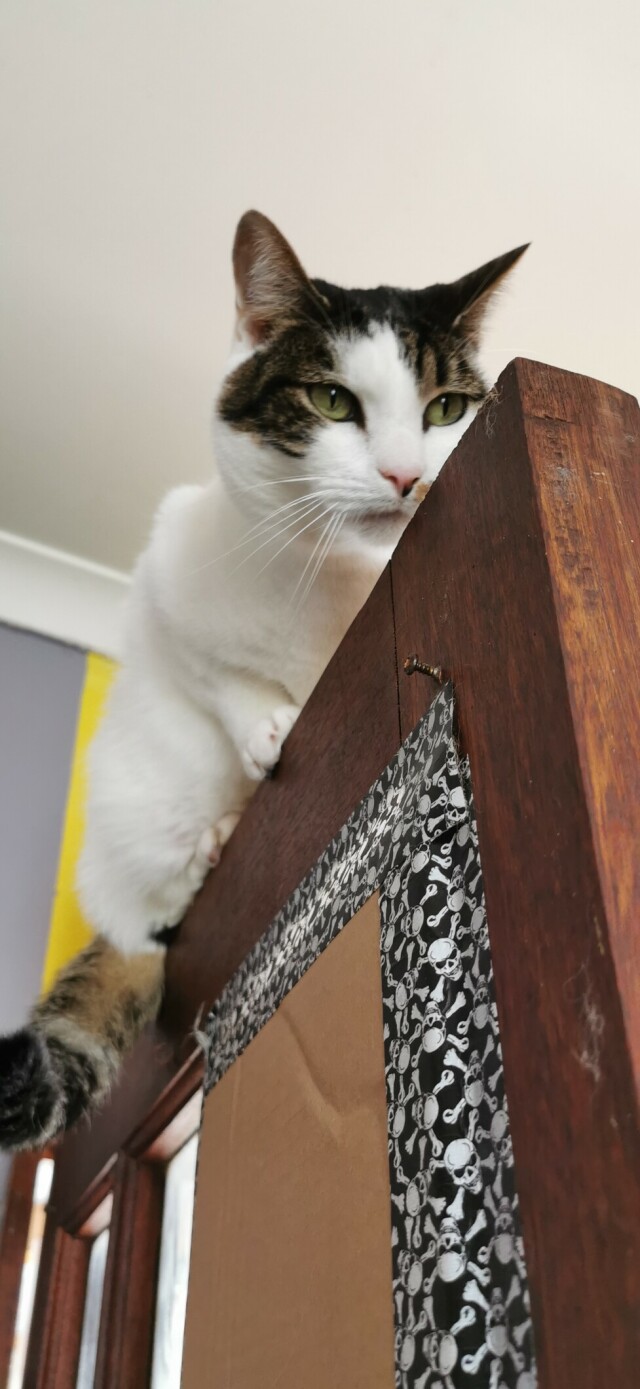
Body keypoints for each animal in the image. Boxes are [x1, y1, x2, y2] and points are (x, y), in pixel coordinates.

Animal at [0, 202, 524, 1138]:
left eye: (448, 407)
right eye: (333, 401)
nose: (406, 475)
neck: (347, 581)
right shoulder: (166, 578)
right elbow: (213, 668)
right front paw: (270, 724)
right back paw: (208, 844)